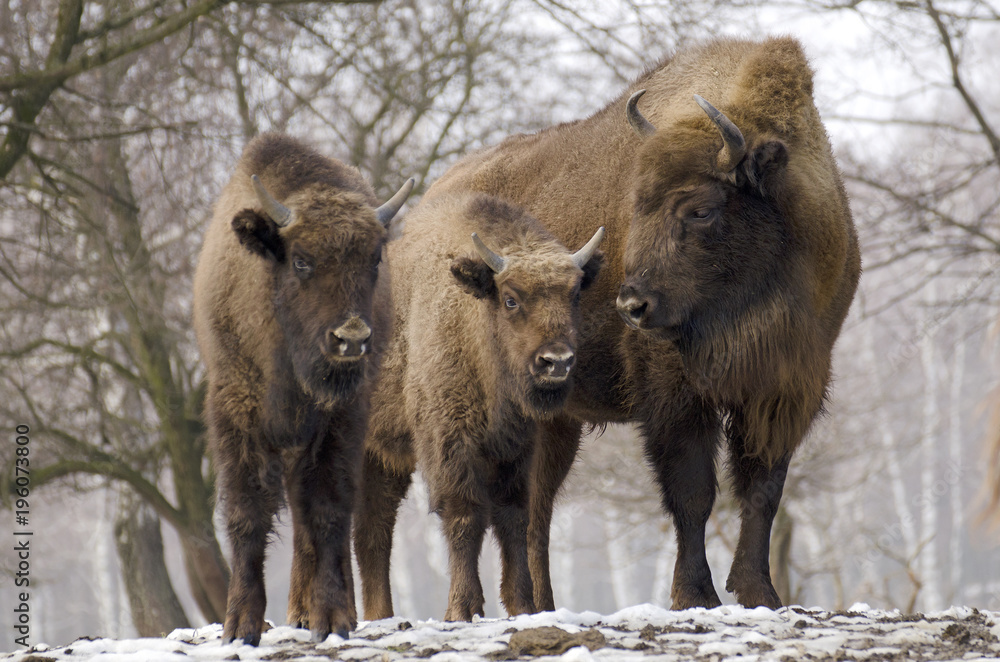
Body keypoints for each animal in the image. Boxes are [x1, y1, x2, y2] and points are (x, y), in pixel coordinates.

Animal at [192, 133, 412, 644]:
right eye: (301, 260)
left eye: (374, 259)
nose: (351, 338)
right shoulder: (235, 414)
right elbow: (247, 512)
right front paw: (240, 626)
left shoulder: (340, 421)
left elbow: (328, 510)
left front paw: (333, 618)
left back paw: (315, 612)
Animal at [353, 192, 604, 621]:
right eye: (511, 299)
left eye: (573, 295)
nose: (556, 362)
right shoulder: (450, 443)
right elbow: (465, 515)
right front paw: (462, 608)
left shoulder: (516, 449)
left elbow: (513, 517)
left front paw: (522, 605)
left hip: (381, 456)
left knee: (373, 529)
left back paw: (379, 615)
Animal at [422, 36, 861, 610]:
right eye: (637, 205)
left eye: (701, 209)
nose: (631, 305)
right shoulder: (676, 396)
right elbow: (693, 492)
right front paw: (695, 594)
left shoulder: (785, 390)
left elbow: (762, 489)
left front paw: (759, 592)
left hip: (555, 421)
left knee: (538, 505)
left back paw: (543, 603)